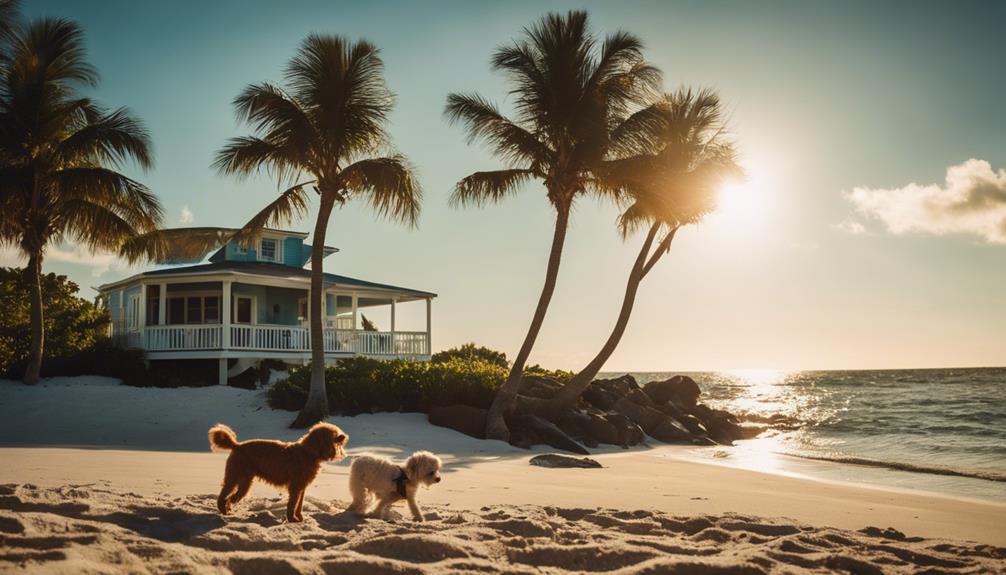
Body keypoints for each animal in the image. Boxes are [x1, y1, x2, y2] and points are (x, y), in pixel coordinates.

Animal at [206, 422, 348, 522]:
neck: (308, 453)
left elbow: (299, 505)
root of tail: (237, 446)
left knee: (231, 497)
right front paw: (292, 520)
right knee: (224, 495)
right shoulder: (295, 487)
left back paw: (227, 510)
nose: (344, 436)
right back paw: (223, 510)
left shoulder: (302, 487)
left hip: (245, 482)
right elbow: (292, 504)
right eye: (335, 436)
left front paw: (299, 518)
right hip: (234, 476)